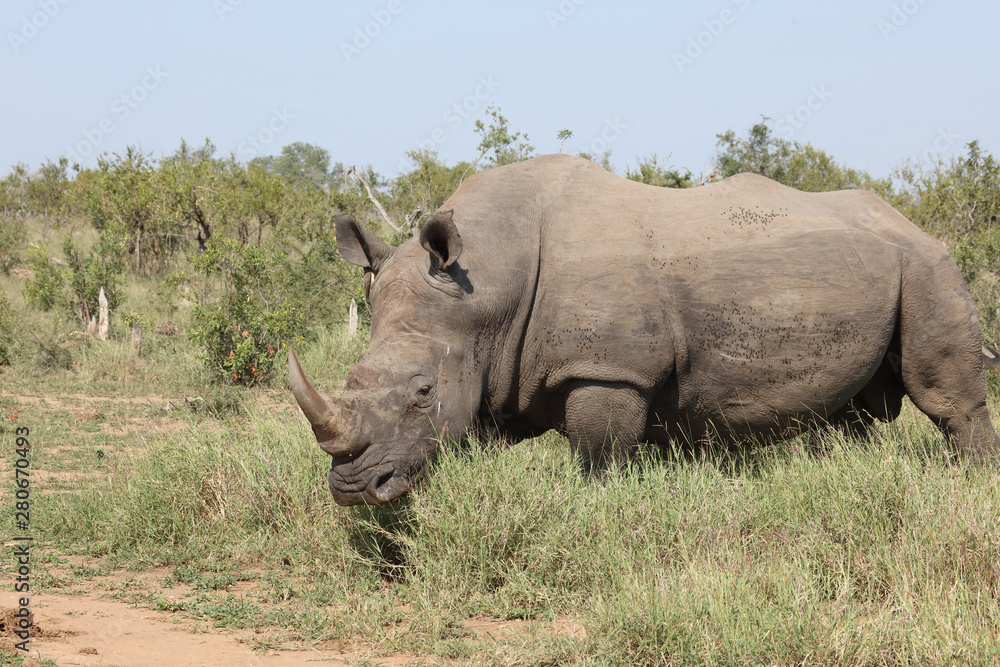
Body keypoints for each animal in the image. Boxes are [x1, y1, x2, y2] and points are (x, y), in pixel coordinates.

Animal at [289, 154, 999, 505]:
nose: (353, 491)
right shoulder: (491, 374)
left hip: (928, 264)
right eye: (350, 377)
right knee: (855, 412)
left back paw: (974, 482)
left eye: (421, 393)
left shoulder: (609, 372)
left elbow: (599, 458)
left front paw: (595, 514)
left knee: (945, 394)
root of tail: (906, 218)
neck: (487, 284)